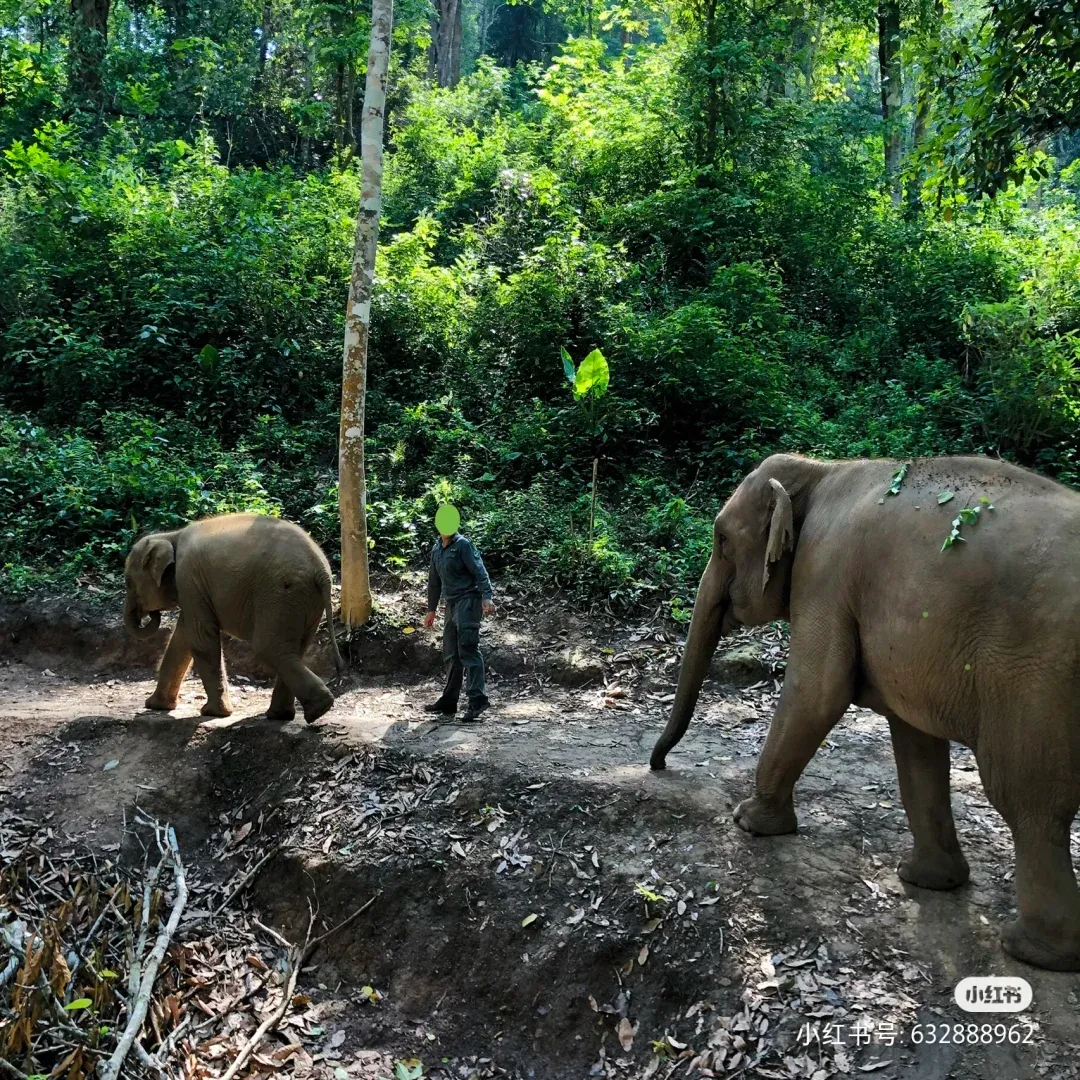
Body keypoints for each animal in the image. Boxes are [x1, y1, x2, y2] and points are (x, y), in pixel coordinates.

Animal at [123, 514, 343, 725]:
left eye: (128, 582)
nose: (150, 613)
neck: (170, 535)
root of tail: (322, 571)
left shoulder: (188, 579)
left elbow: (201, 638)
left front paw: (213, 713)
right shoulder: (192, 589)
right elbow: (182, 639)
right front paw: (156, 706)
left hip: (282, 594)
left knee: (268, 647)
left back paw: (315, 709)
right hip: (305, 602)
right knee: (294, 649)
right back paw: (289, 713)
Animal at [648, 451, 1080, 976]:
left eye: (722, 541)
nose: (658, 764)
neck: (819, 469)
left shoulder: (824, 573)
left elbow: (817, 691)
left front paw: (748, 821)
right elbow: (914, 740)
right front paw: (924, 879)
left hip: (1037, 678)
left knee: (1025, 798)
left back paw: (1032, 950)